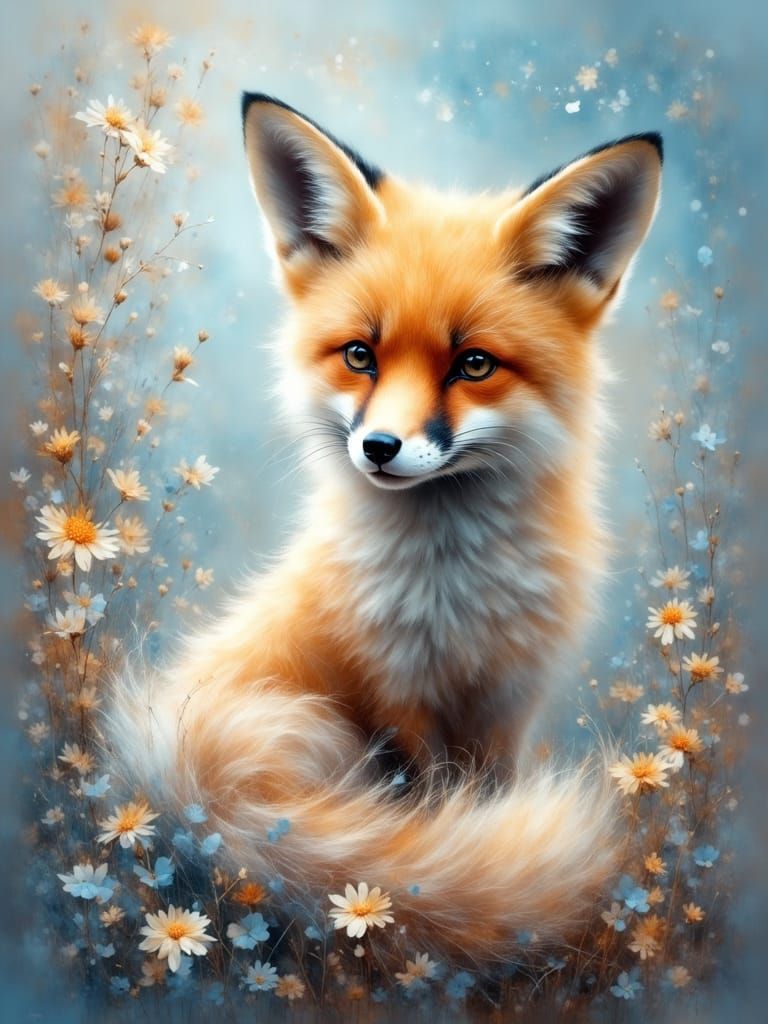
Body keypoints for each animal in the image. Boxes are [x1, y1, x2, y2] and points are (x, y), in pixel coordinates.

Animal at [107, 94, 663, 961]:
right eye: (360, 355)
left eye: (473, 365)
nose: (379, 448)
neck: (457, 593)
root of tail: (159, 766)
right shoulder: (394, 695)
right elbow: (438, 811)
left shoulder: (508, 699)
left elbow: (486, 800)